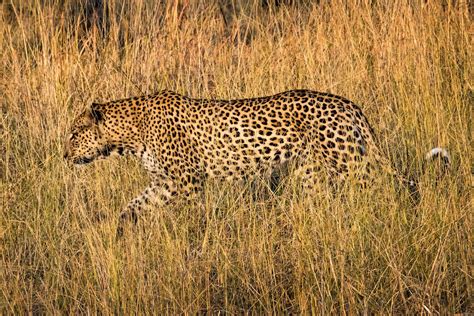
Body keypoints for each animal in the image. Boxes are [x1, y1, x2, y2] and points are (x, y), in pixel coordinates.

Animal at [64, 89, 452, 232]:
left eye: (73, 133)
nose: (64, 154)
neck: (127, 136)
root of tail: (347, 103)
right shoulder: (164, 183)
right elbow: (134, 205)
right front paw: (120, 230)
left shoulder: (187, 182)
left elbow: (189, 215)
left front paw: (191, 238)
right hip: (311, 172)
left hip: (349, 161)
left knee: (394, 186)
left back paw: (401, 217)